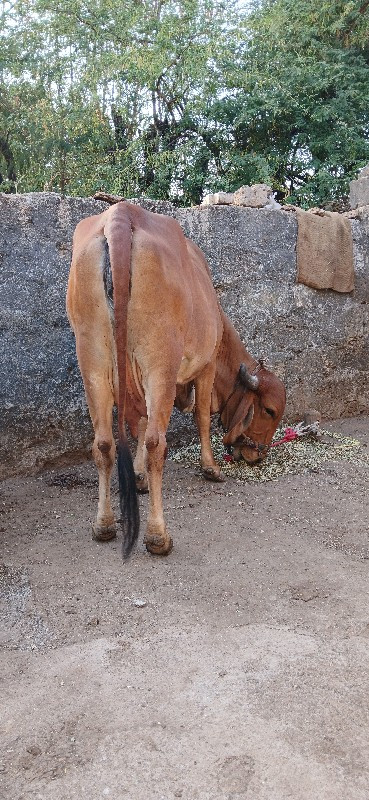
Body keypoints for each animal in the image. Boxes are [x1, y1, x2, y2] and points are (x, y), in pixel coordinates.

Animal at [66, 202, 284, 556]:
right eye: (269, 411)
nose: (257, 455)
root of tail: (121, 214)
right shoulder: (206, 366)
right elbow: (201, 419)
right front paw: (210, 467)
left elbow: (140, 425)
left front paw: (138, 475)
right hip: (161, 365)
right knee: (157, 443)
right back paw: (158, 536)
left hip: (93, 363)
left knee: (103, 443)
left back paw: (104, 524)